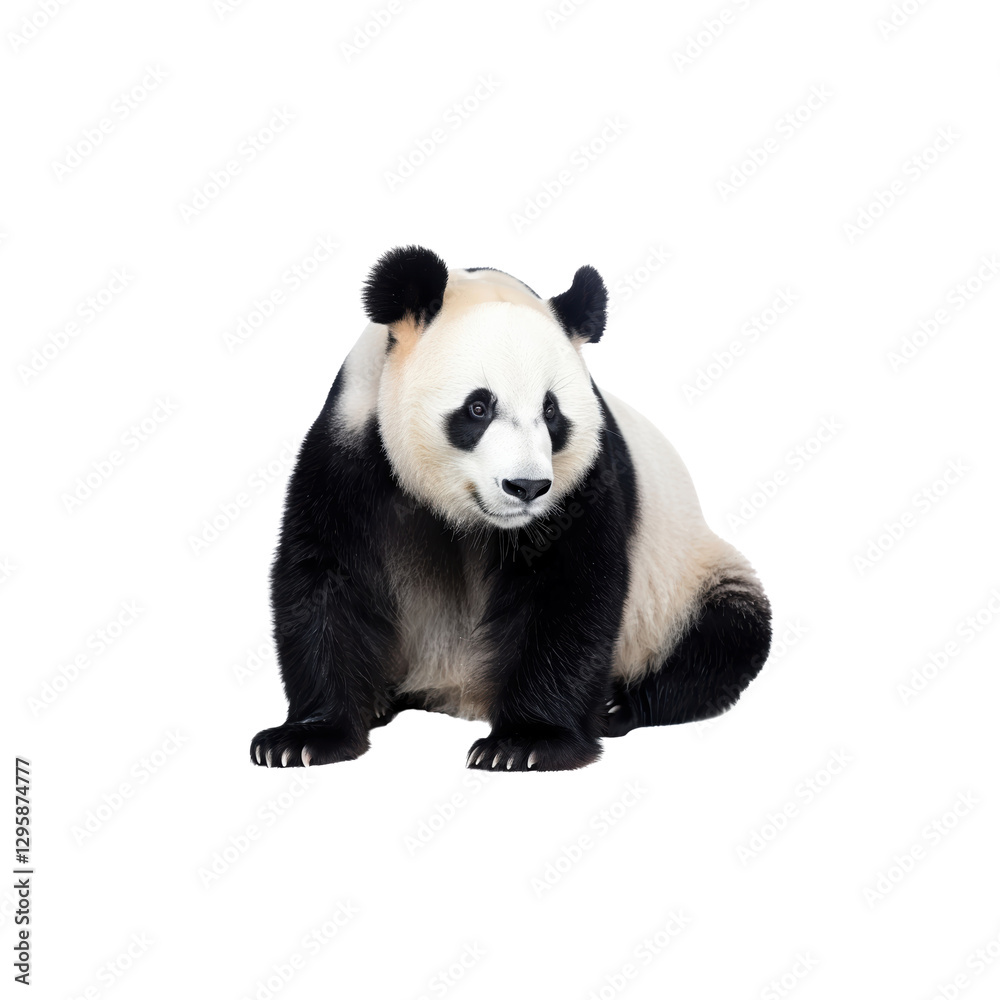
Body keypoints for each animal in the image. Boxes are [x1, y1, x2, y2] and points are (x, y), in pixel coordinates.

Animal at [250, 246, 771, 772]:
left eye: (551, 411)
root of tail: (452, 692)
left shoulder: (583, 481)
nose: (527, 487)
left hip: (684, 581)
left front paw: (525, 743)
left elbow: (568, 591)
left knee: (725, 634)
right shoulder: (351, 447)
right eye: (478, 407)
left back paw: (617, 705)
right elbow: (327, 576)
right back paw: (377, 699)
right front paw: (304, 738)